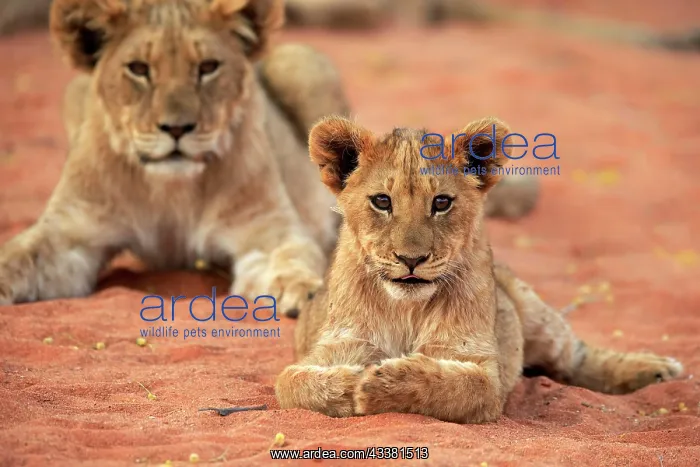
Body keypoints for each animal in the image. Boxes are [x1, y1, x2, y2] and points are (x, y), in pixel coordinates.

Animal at [274, 116, 684, 423]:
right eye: (381, 201)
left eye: (441, 202)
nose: (411, 259)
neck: (405, 308)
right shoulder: (331, 349)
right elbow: (293, 383)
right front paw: (354, 380)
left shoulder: (481, 366)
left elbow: (452, 384)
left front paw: (381, 381)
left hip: (537, 316)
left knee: (577, 358)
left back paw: (657, 370)